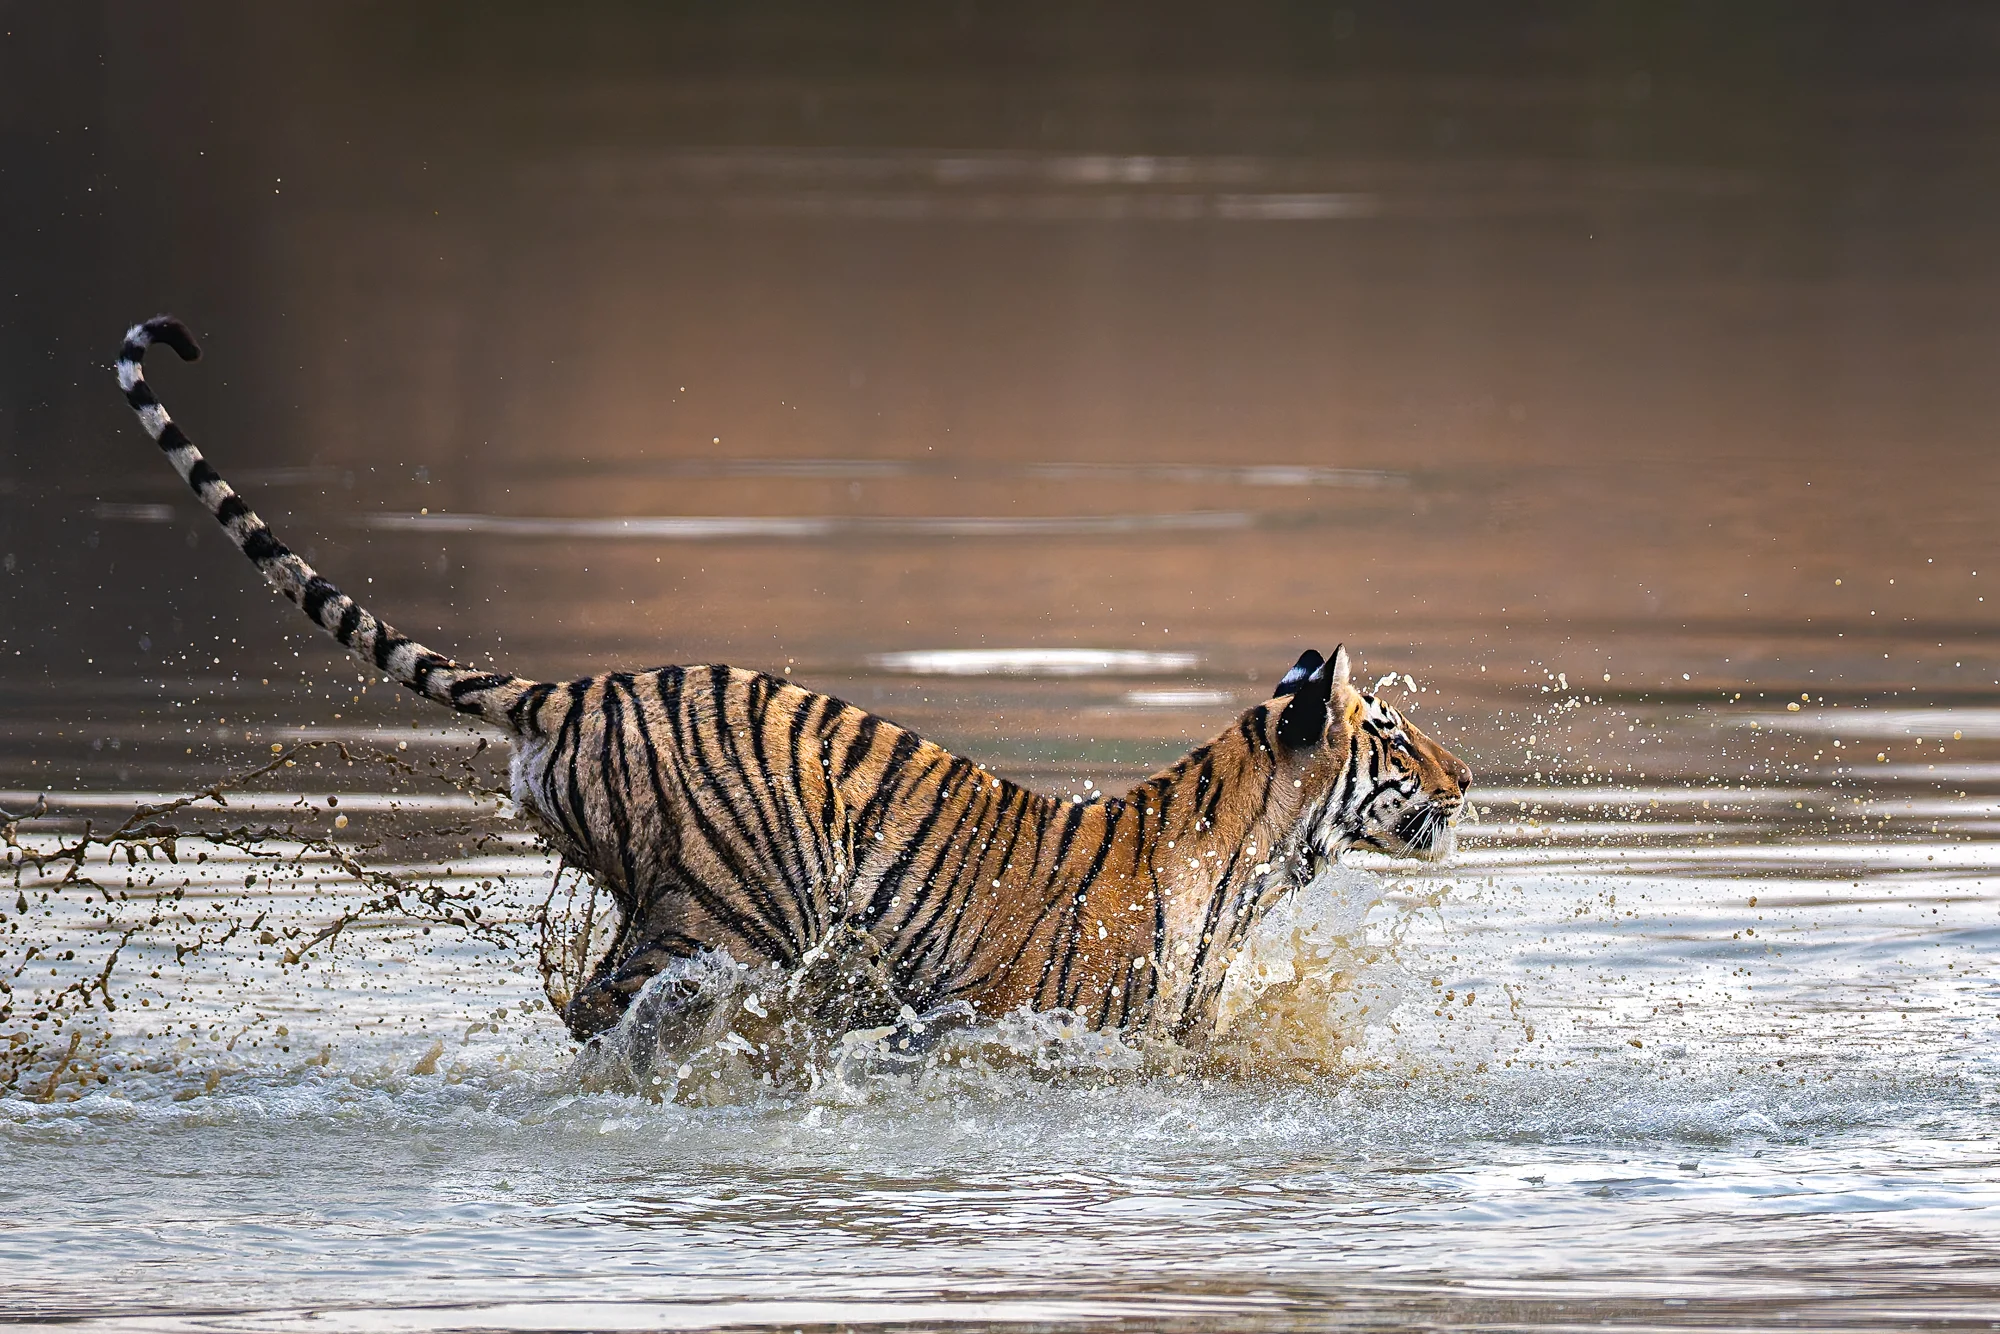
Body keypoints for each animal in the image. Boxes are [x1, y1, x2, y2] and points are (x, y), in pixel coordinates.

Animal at [115, 314, 1472, 1047]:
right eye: (1394, 731)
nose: (1469, 777)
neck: (1250, 857)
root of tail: (581, 690)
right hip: (724, 910)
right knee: (608, 1008)